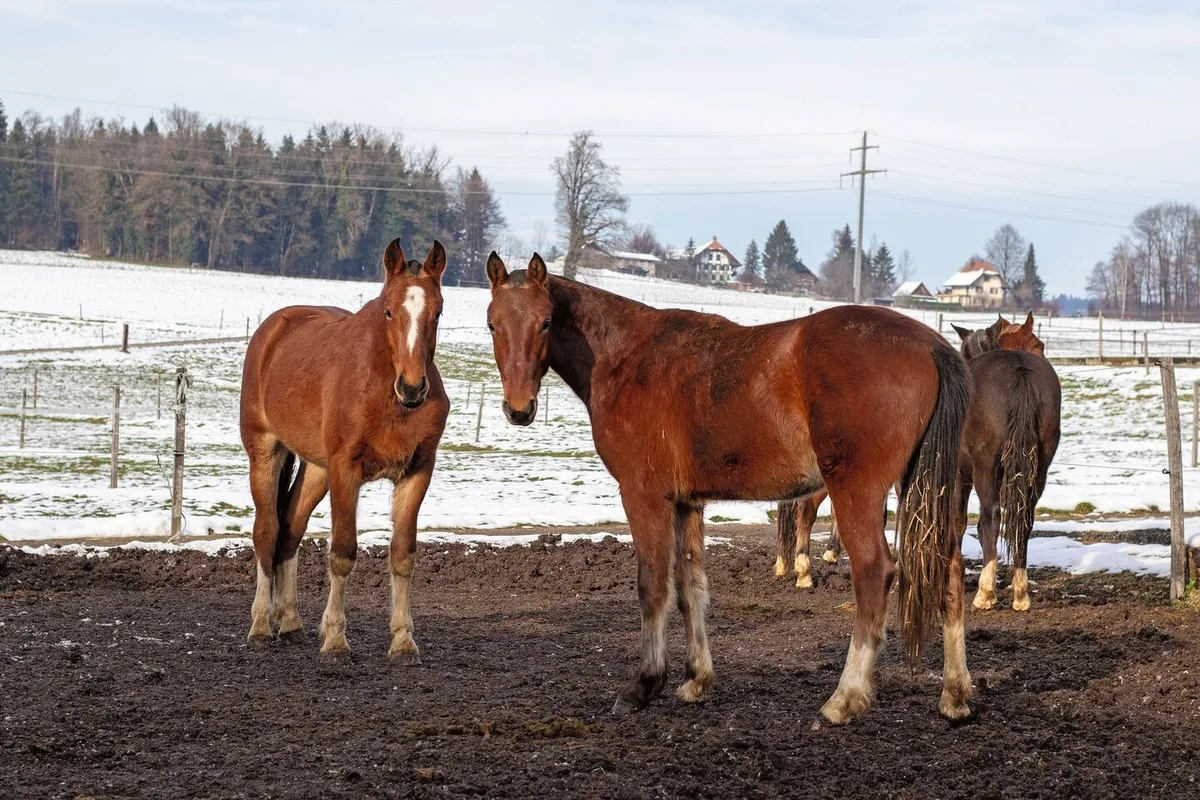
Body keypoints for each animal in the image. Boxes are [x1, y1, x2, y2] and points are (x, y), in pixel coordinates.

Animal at [239, 239, 449, 659]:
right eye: (388, 310)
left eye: (437, 311)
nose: (413, 388)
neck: (384, 394)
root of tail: (273, 330)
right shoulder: (345, 471)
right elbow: (343, 553)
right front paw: (336, 638)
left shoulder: (418, 471)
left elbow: (403, 554)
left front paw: (403, 640)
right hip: (266, 451)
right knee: (267, 531)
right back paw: (261, 624)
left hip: (317, 470)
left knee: (290, 530)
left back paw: (290, 622)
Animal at [484, 252, 974, 725]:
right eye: (493, 323)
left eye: (546, 322)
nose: (519, 409)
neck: (627, 358)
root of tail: (930, 345)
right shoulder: (686, 503)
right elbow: (689, 587)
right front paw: (696, 680)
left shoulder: (644, 497)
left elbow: (652, 587)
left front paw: (644, 685)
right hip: (922, 490)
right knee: (949, 572)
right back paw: (955, 695)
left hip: (857, 491)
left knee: (874, 573)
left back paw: (845, 698)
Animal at [951, 312, 1059, 611]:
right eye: (1039, 345)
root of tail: (1019, 371)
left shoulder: (960, 475)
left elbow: (959, 521)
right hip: (1038, 470)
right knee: (1024, 520)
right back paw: (1020, 592)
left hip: (985, 469)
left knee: (990, 518)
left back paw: (985, 592)